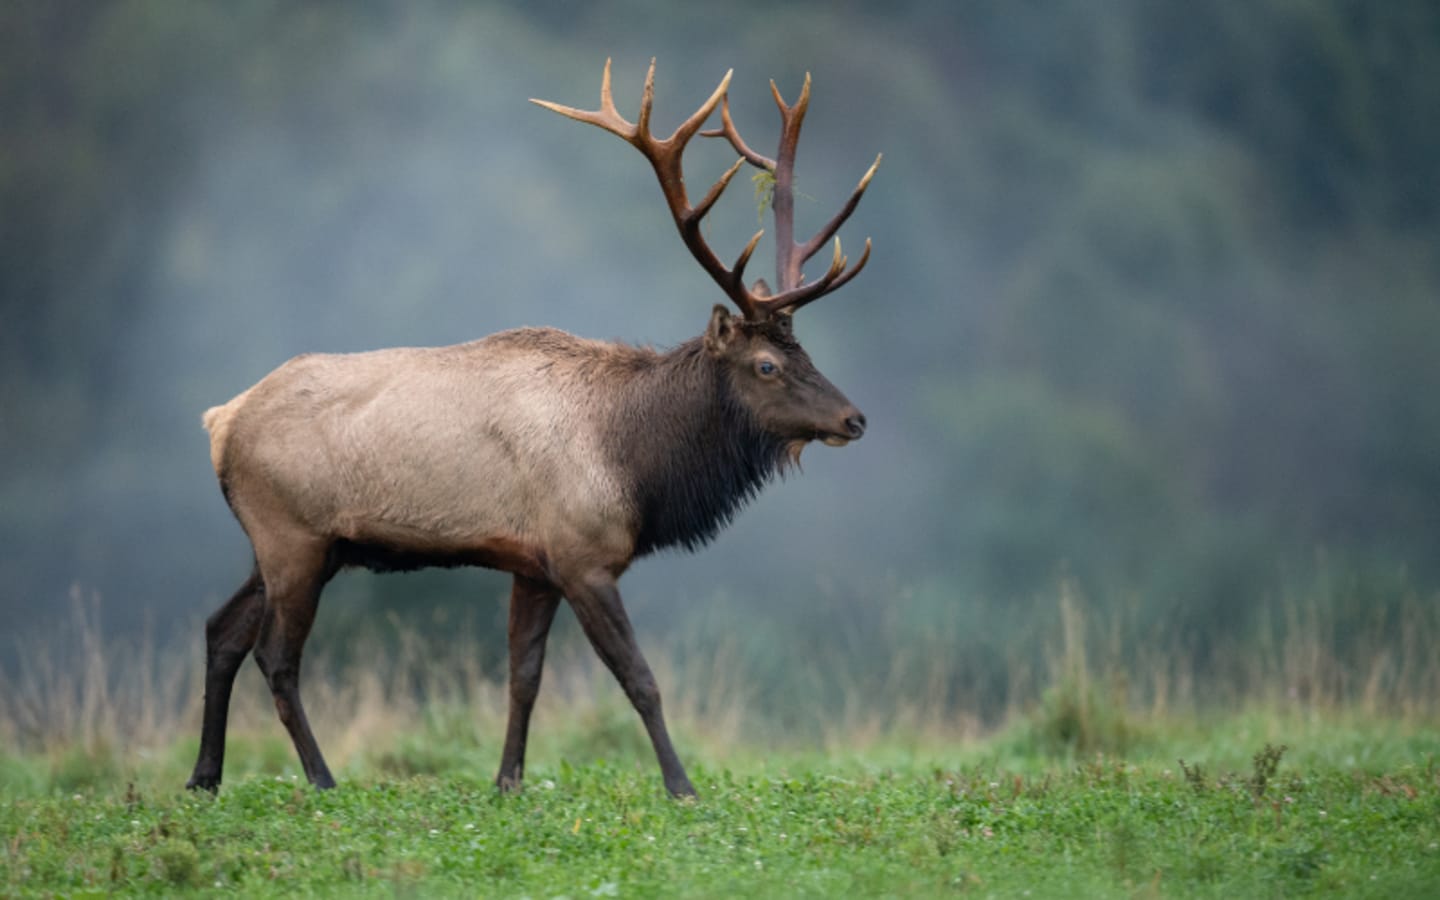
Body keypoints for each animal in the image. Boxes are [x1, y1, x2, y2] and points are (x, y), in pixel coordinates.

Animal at [185, 58, 880, 799]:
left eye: (806, 352)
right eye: (767, 364)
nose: (853, 418)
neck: (634, 462)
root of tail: (220, 420)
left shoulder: (534, 565)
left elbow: (524, 677)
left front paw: (508, 780)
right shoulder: (583, 555)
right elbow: (640, 678)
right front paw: (682, 785)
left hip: (291, 545)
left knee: (222, 631)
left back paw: (205, 776)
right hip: (294, 536)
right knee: (276, 655)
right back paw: (321, 778)